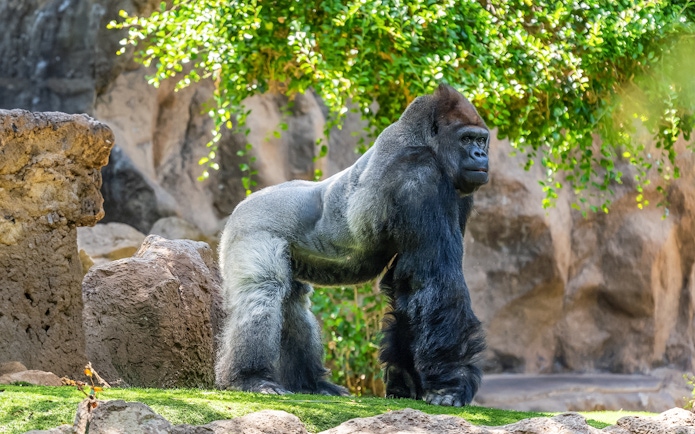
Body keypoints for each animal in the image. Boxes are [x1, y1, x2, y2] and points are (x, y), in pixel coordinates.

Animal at [216, 83, 488, 406]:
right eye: (466, 138)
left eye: (482, 139)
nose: (481, 155)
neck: (423, 140)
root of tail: (242, 204)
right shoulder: (420, 177)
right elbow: (435, 281)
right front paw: (450, 385)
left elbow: (408, 284)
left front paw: (406, 383)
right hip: (249, 228)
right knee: (263, 291)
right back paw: (250, 378)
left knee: (293, 302)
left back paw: (311, 383)